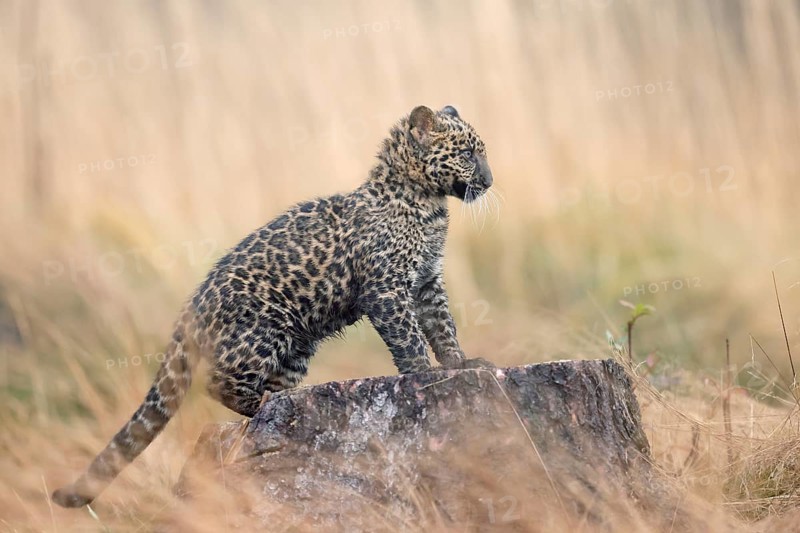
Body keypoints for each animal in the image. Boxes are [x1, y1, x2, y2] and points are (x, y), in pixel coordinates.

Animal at [52, 104, 495, 508]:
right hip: (265, 330)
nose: (490, 181)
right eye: (467, 153)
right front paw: (424, 373)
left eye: (482, 153)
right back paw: (264, 408)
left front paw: (460, 363)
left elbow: (442, 327)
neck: (427, 204)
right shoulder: (386, 288)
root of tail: (193, 305)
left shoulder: (427, 283)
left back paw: (284, 410)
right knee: (218, 382)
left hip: (297, 350)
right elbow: (409, 337)